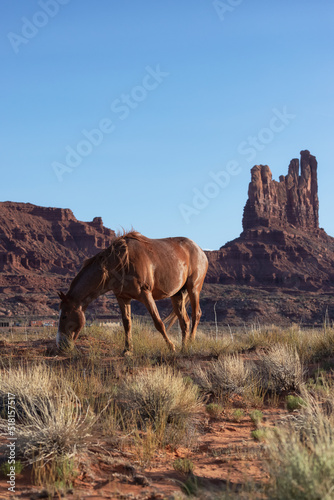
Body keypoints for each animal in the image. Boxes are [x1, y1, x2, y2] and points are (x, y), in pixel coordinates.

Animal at [57, 232, 209, 354]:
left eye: (64, 316)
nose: (60, 345)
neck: (119, 263)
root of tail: (200, 251)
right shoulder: (122, 297)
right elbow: (127, 323)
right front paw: (127, 350)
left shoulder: (145, 294)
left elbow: (158, 322)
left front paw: (171, 347)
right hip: (177, 295)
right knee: (185, 321)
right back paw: (183, 348)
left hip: (193, 288)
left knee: (196, 314)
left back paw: (190, 344)